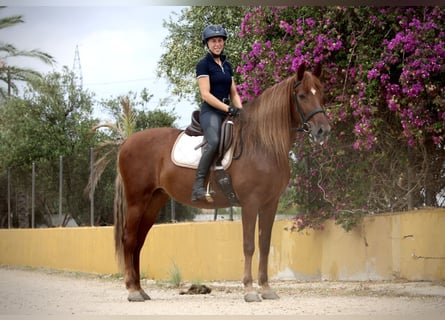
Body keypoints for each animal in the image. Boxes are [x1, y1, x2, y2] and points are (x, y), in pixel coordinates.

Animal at [113, 63, 330, 302]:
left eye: (321, 93)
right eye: (302, 95)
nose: (323, 130)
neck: (262, 144)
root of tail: (126, 143)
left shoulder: (270, 204)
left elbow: (264, 245)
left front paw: (266, 288)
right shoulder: (250, 203)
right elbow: (249, 246)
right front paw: (249, 290)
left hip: (154, 201)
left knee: (139, 242)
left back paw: (140, 289)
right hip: (136, 201)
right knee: (129, 239)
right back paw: (132, 290)